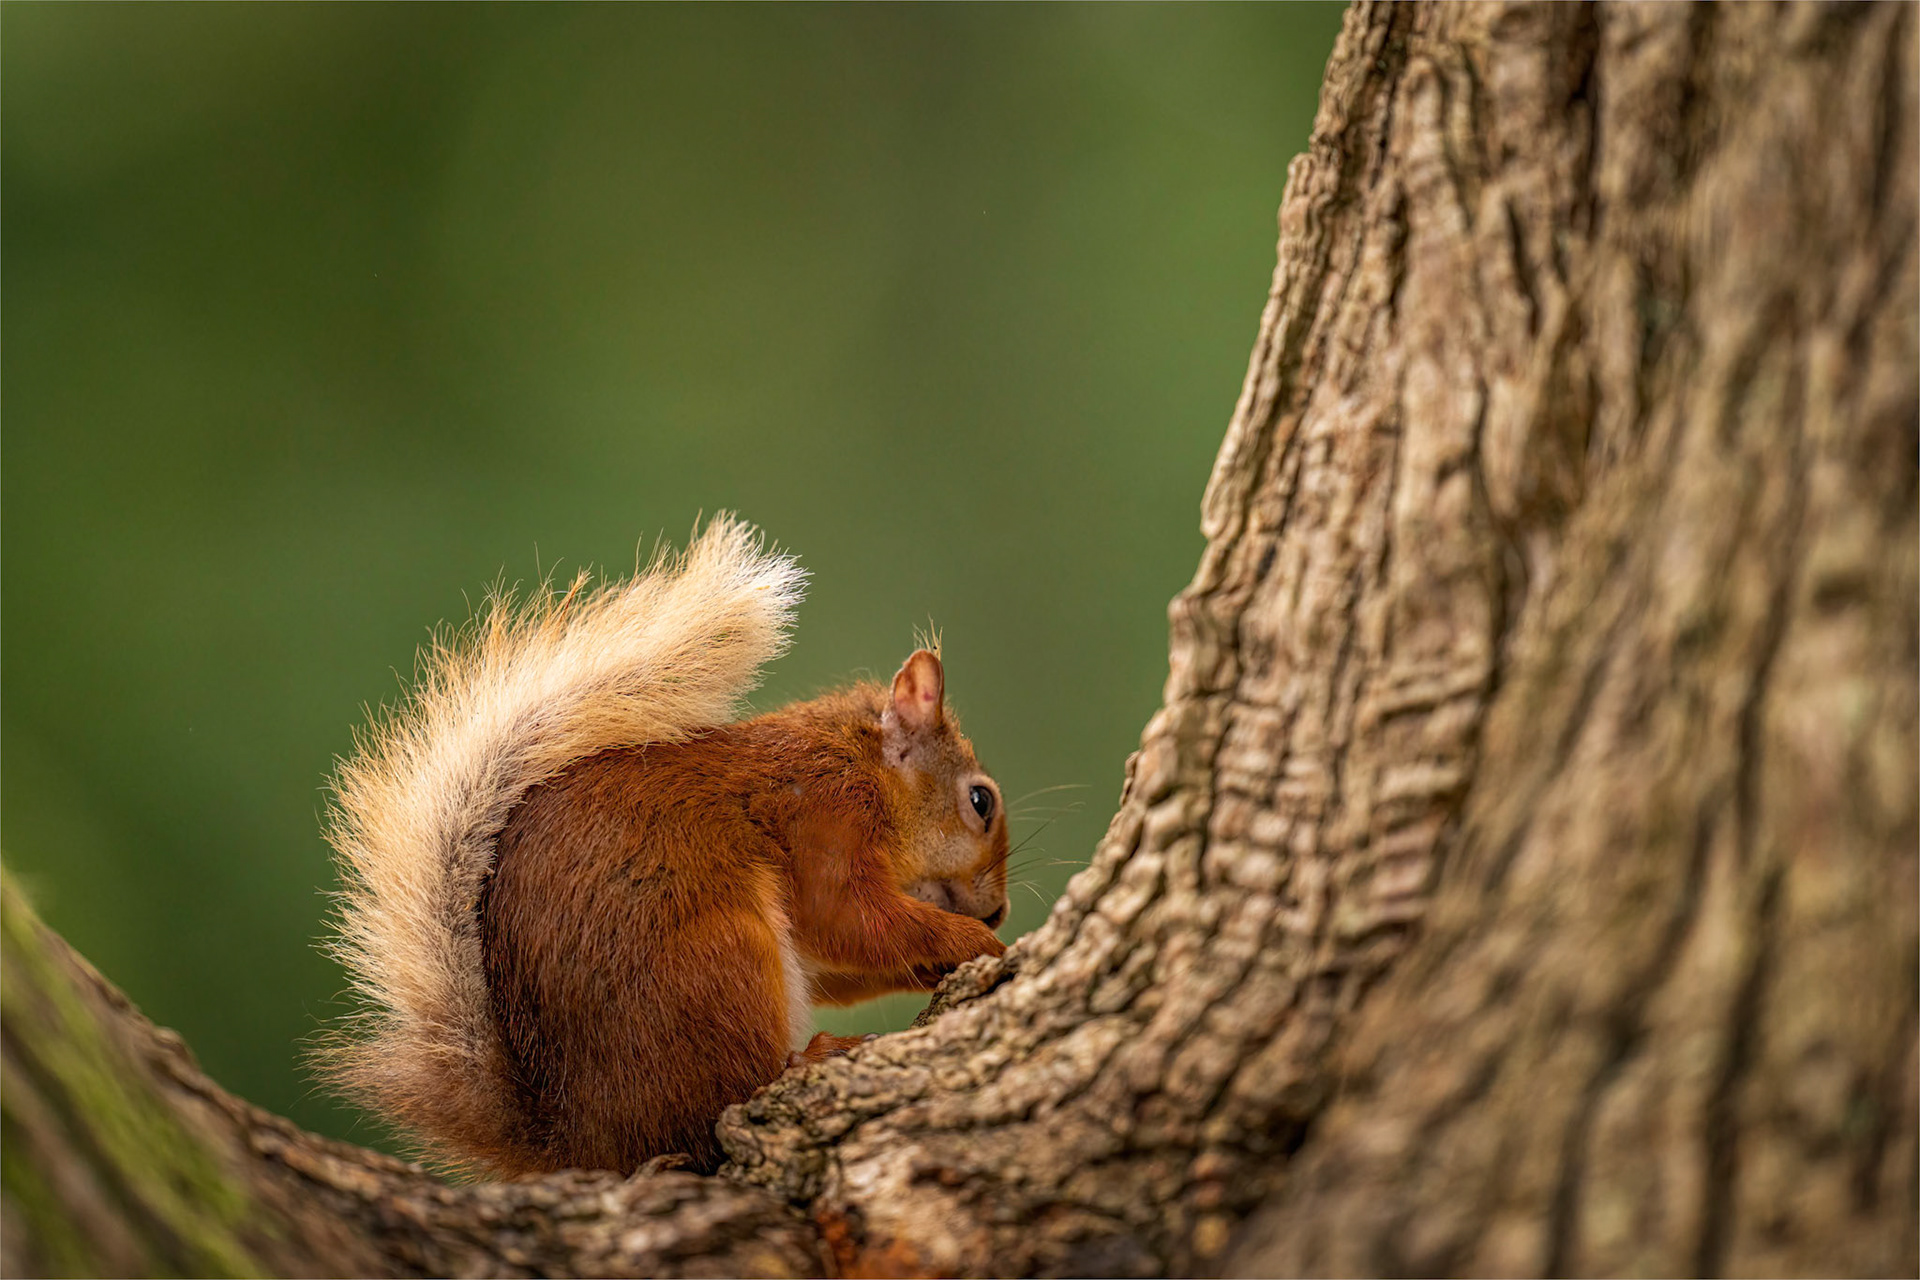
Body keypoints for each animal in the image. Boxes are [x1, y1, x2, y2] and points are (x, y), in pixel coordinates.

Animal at [318, 516, 1010, 1176]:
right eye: (981, 801)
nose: (1000, 911)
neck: (862, 764)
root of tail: (586, 1143)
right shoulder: (825, 820)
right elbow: (850, 919)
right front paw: (979, 944)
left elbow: (839, 959)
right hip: (719, 958)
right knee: (726, 1103)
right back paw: (812, 1058)